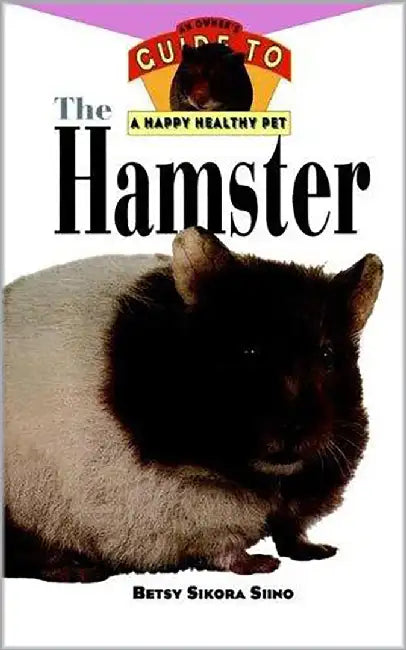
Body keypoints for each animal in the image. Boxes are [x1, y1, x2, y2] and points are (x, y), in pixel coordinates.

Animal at [4, 227, 383, 581]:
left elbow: (292, 529)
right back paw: (81, 570)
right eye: (249, 350)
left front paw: (320, 551)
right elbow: (225, 547)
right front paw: (263, 564)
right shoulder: (183, 510)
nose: (295, 430)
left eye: (328, 355)